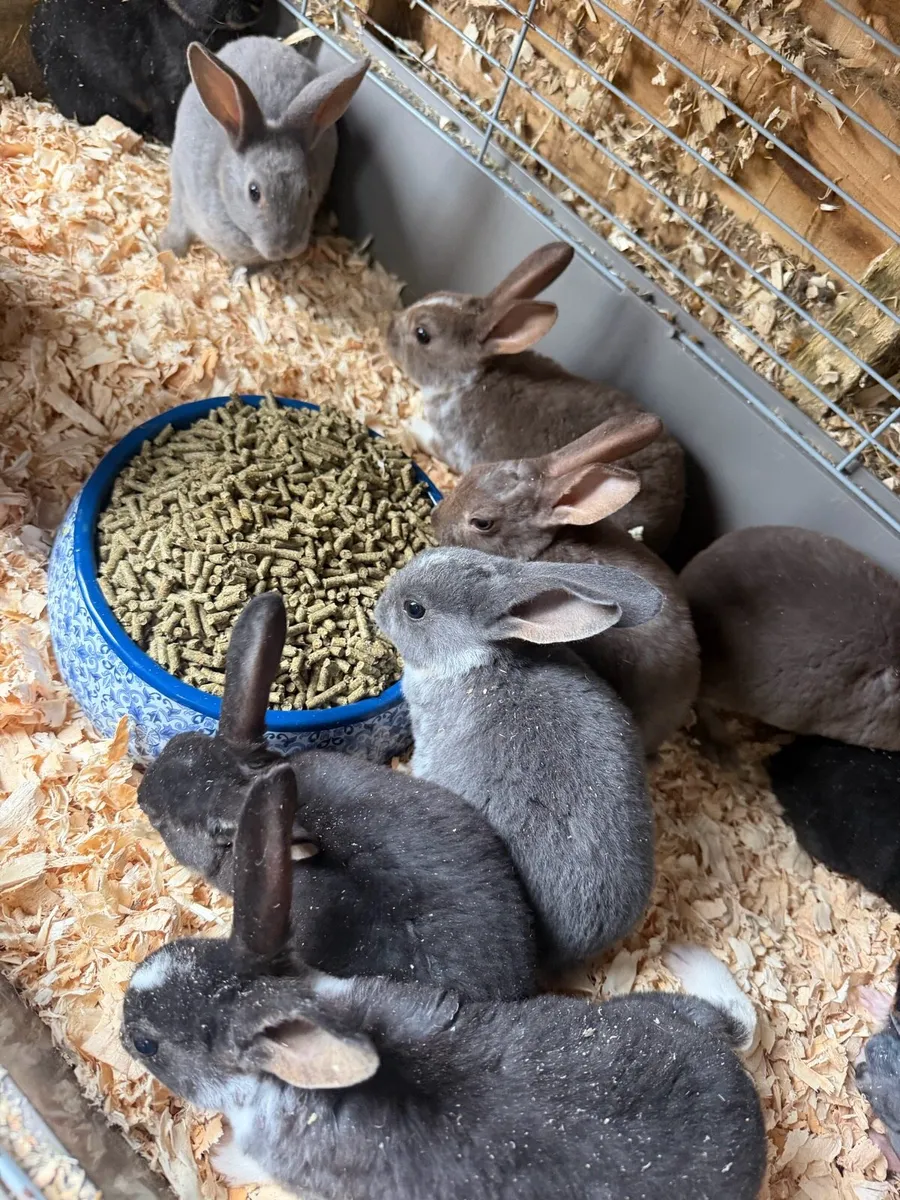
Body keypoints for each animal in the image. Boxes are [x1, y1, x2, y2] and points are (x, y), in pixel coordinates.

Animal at [161, 38, 369, 266]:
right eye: (254, 192)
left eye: (308, 192)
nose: (285, 249)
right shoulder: (183, 192)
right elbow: (179, 223)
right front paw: (170, 249)